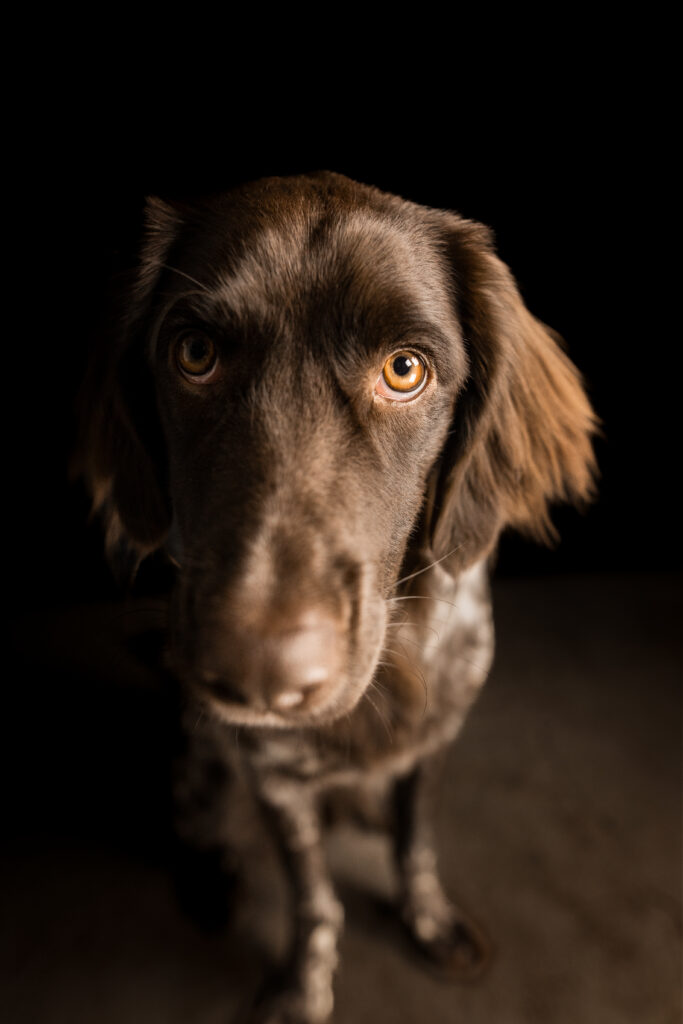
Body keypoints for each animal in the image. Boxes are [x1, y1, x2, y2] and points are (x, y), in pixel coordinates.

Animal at [76, 172, 598, 1019]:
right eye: (194, 354)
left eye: (404, 370)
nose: (256, 674)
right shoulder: (273, 778)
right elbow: (313, 898)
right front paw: (302, 986)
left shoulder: (433, 741)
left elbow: (415, 842)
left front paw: (429, 921)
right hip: (200, 761)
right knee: (197, 819)